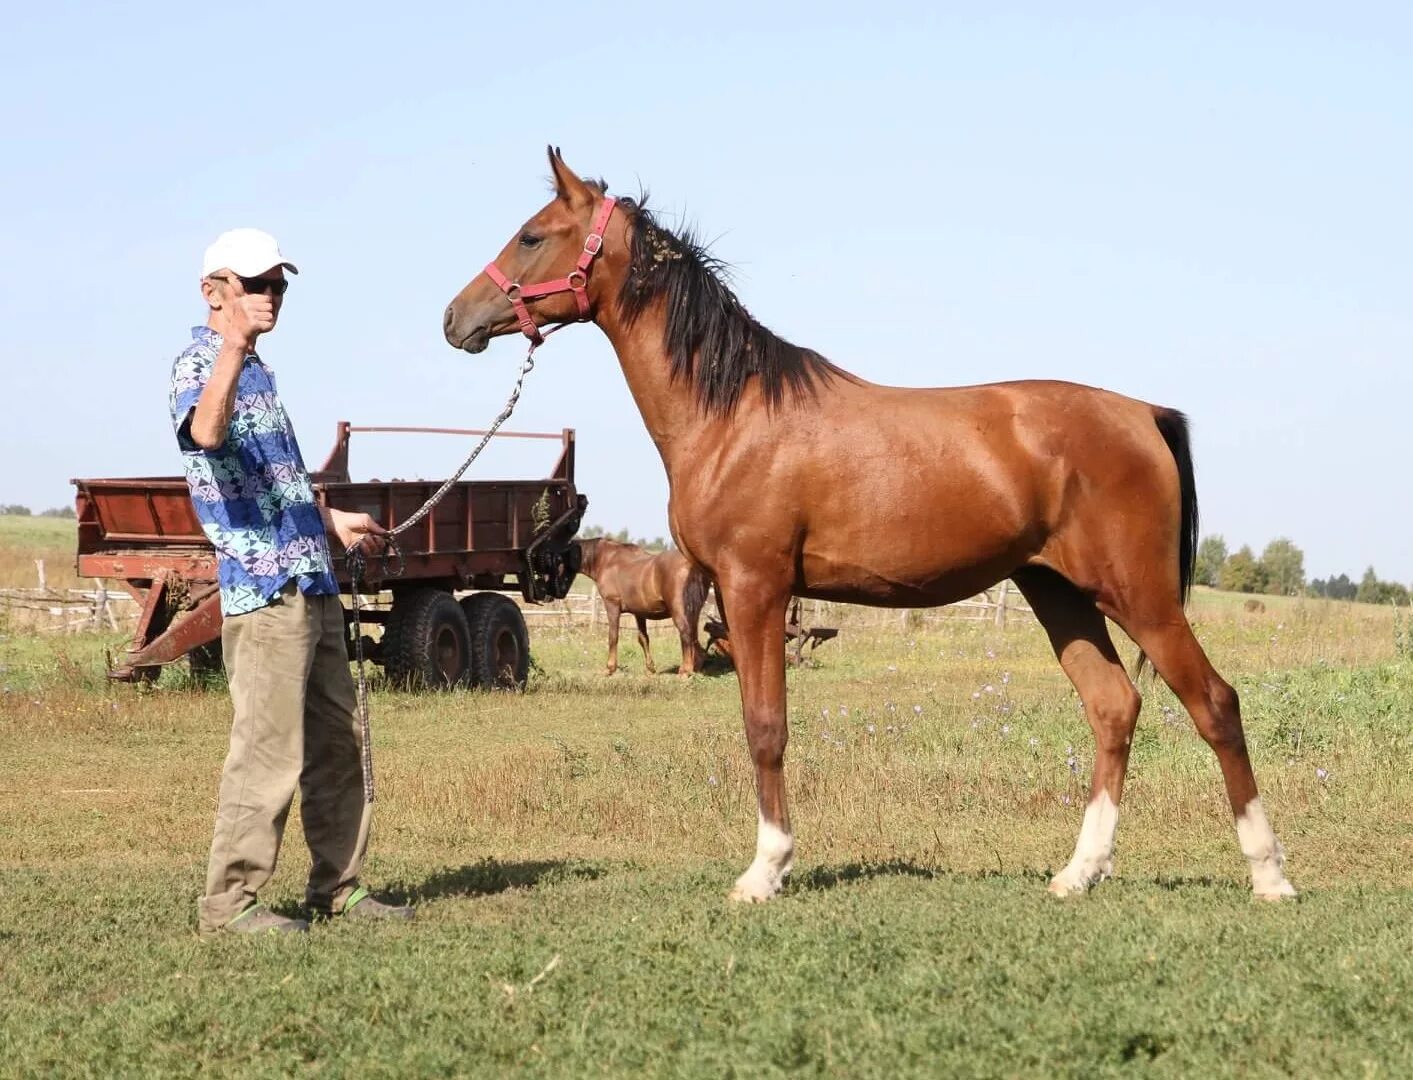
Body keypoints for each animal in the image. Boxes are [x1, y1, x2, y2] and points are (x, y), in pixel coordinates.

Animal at [573, 537, 706, 675]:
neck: (607, 560)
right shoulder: (639, 613)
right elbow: (643, 638)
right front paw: (650, 668)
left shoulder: (612, 605)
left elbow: (613, 636)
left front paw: (610, 668)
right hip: (694, 611)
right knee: (694, 637)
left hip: (679, 610)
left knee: (685, 633)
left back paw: (685, 670)